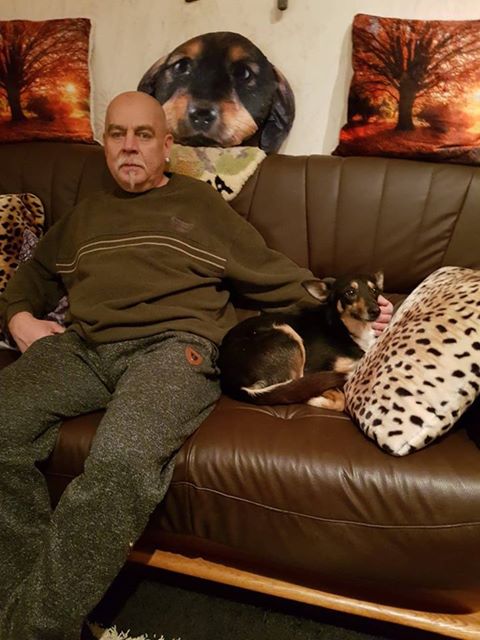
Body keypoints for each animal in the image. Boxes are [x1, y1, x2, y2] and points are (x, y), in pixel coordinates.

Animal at [218, 272, 384, 411]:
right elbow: (339, 400)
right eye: (350, 292)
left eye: (374, 291)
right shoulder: (313, 370)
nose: (376, 311)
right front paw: (314, 399)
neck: (345, 328)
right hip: (287, 332)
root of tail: (230, 380)